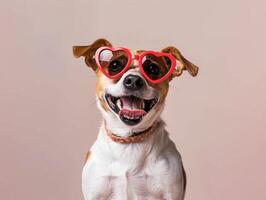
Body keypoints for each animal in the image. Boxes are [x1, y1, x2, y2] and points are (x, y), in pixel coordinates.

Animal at [72, 38, 197, 199]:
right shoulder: (95, 191)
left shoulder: (170, 191)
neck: (129, 140)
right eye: (114, 65)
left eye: (152, 69)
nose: (133, 80)